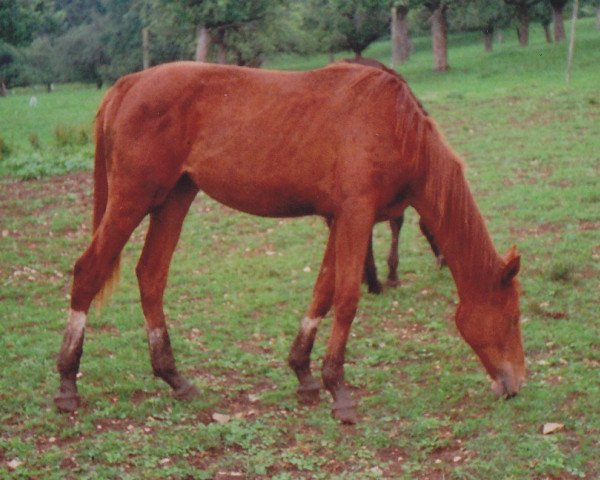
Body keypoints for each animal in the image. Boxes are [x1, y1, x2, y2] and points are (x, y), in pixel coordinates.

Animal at [55, 60, 524, 424]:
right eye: (514, 316)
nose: (516, 384)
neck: (395, 125)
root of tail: (130, 83)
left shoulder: (340, 220)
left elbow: (323, 292)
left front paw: (304, 373)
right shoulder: (356, 216)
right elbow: (347, 299)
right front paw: (339, 391)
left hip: (174, 198)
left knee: (151, 276)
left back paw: (176, 378)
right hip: (132, 199)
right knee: (88, 272)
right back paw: (66, 384)